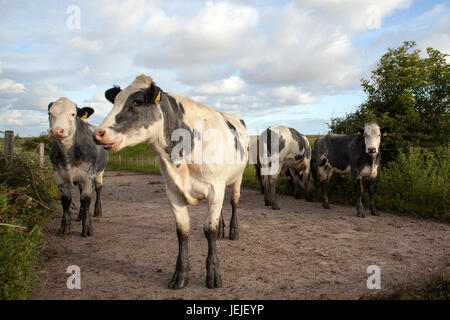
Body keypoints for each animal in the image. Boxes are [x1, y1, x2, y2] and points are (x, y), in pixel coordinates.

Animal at [48, 99, 108, 236]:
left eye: (73, 114)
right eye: (50, 113)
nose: (57, 131)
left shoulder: (88, 175)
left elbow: (86, 199)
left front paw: (87, 228)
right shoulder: (59, 176)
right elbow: (66, 201)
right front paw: (64, 227)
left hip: (100, 172)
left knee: (98, 190)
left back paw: (97, 211)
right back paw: (80, 216)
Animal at [92, 74, 250, 288]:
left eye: (137, 101)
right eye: (115, 101)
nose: (98, 133)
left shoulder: (215, 187)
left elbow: (209, 229)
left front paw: (213, 274)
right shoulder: (173, 190)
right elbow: (182, 231)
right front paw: (180, 275)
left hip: (236, 178)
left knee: (233, 202)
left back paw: (233, 230)